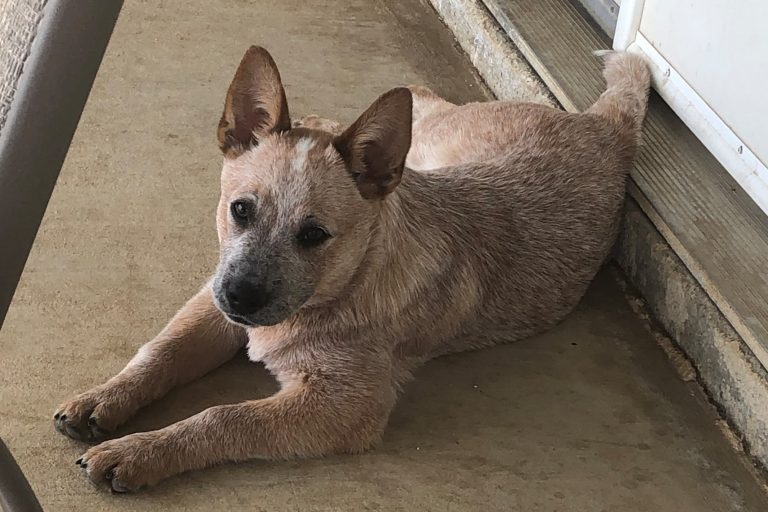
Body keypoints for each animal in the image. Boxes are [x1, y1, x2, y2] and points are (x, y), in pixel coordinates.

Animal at [53, 46, 650, 492]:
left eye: (314, 235)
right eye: (241, 209)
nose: (242, 299)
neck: (348, 282)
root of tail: (604, 128)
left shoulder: (343, 405)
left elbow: (224, 415)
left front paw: (142, 451)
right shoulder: (213, 301)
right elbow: (162, 351)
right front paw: (106, 396)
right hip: (435, 139)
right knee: (407, 101)